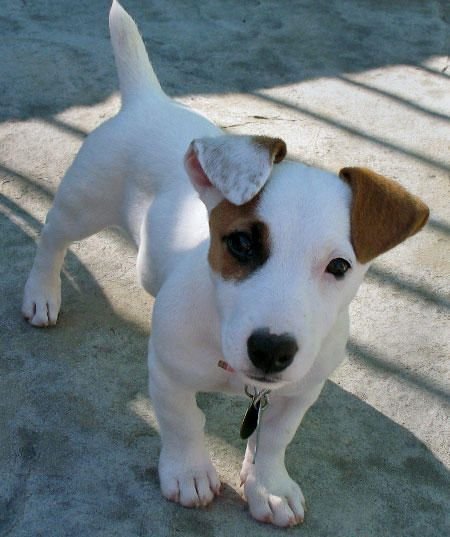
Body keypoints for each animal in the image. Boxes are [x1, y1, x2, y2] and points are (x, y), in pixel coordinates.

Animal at [21, 1, 428, 528]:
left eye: (339, 267)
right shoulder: (168, 373)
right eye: (240, 244)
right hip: (83, 203)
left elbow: (274, 438)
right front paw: (189, 473)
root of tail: (148, 101)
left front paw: (269, 486)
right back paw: (41, 294)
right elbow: (182, 422)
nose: (272, 350)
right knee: (51, 238)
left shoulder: (300, 393)